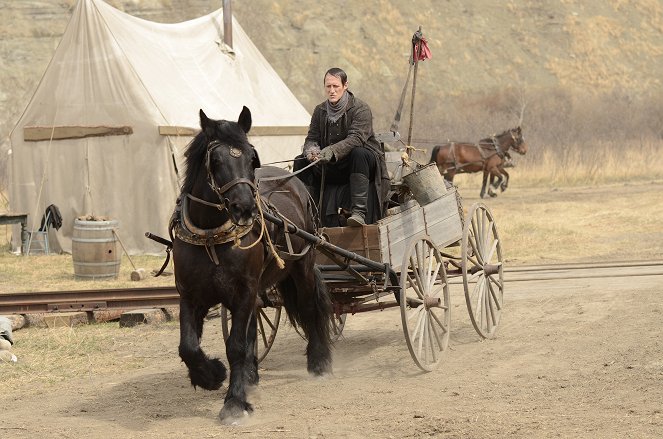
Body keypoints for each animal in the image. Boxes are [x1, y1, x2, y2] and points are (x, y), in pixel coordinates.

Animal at [171, 105, 332, 424]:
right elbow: (189, 347)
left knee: (309, 307)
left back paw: (318, 362)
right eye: (216, 160)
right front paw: (211, 375)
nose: (244, 207)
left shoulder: (243, 291)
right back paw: (250, 375)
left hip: (302, 268)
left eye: (251, 157)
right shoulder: (190, 295)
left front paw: (234, 402)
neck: (211, 237)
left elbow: (235, 346)